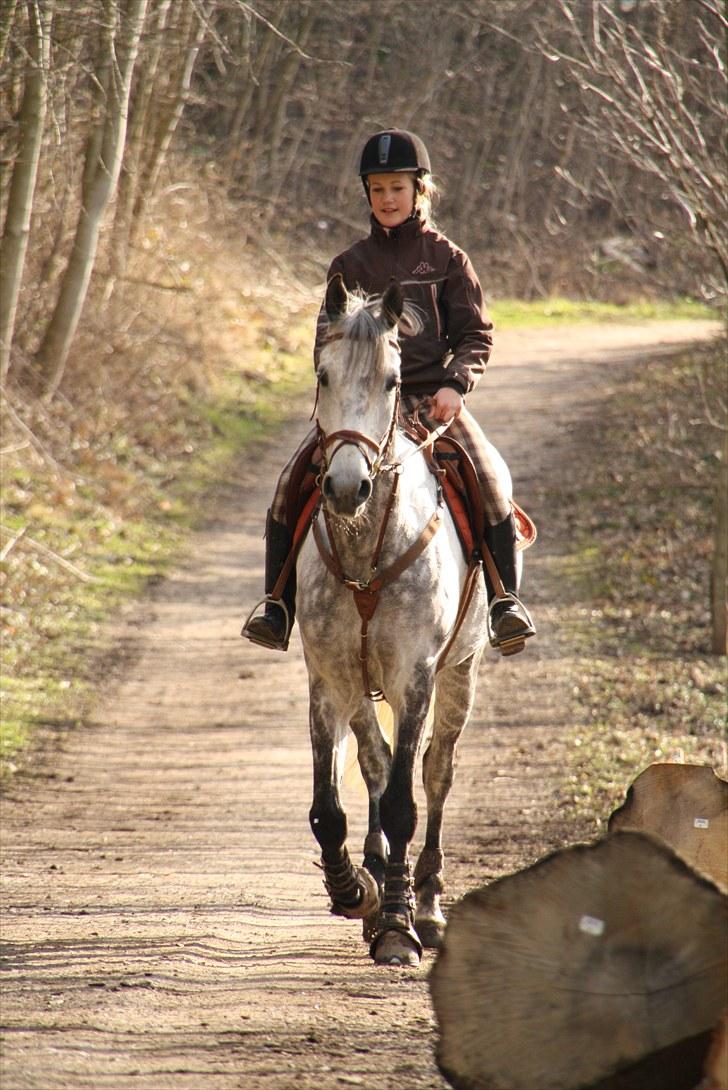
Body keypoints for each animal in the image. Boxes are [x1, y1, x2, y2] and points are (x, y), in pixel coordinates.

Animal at [296, 276, 512, 967]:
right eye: (323, 372)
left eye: (392, 380)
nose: (346, 487)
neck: (368, 547)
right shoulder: (330, 677)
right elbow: (332, 801)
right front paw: (355, 890)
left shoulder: (415, 676)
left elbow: (401, 801)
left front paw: (397, 923)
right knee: (376, 761)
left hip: (460, 674)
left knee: (436, 772)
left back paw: (430, 903)